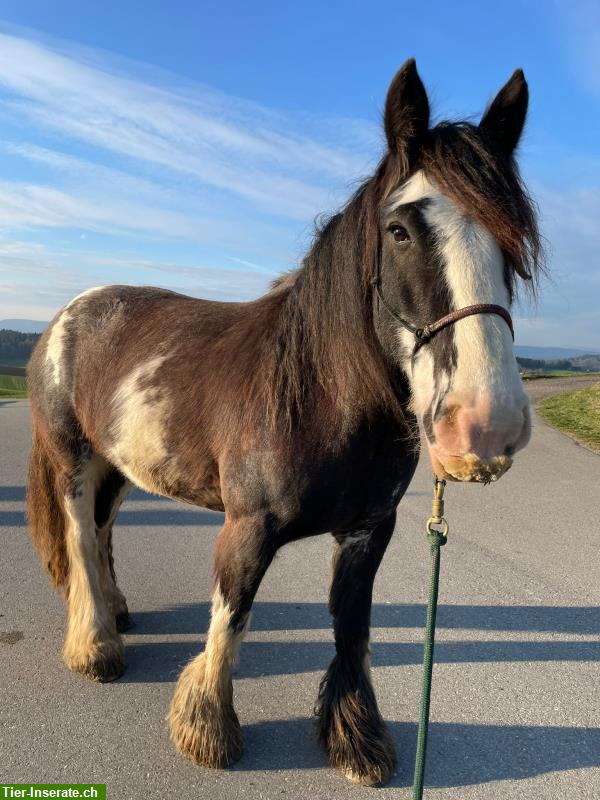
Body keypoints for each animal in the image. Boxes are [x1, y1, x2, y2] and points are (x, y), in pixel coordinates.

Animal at [27, 62, 540, 788]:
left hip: (118, 466)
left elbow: (352, 629)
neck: (320, 398)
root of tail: (71, 312)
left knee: (100, 532)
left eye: (512, 240)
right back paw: (96, 646)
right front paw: (208, 732)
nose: (487, 423)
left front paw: (356, 741)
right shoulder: (247, 529)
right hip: (71, 455)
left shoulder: (368, 532)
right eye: (401, 230)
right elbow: (230, 620)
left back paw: (117, 613)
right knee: (76, 533)